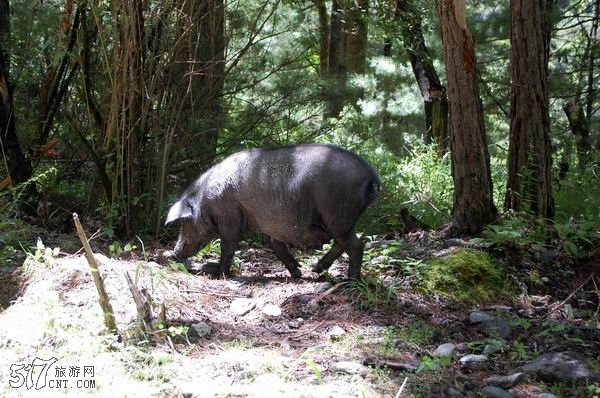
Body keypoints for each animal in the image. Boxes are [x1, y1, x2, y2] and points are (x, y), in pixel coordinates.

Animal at [164, 145, 380, 278]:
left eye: (184, 222)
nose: (173, 254)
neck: (204, 201)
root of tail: (372, 176)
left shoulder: (229, 219)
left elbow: (228, 247)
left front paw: (218, 273)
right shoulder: (272, 227)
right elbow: (277, 248)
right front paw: (297, 274)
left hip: (337, 213)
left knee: (356, 246)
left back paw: (350, 280)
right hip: (341, 219)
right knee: (342, 244)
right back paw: (315, 269)